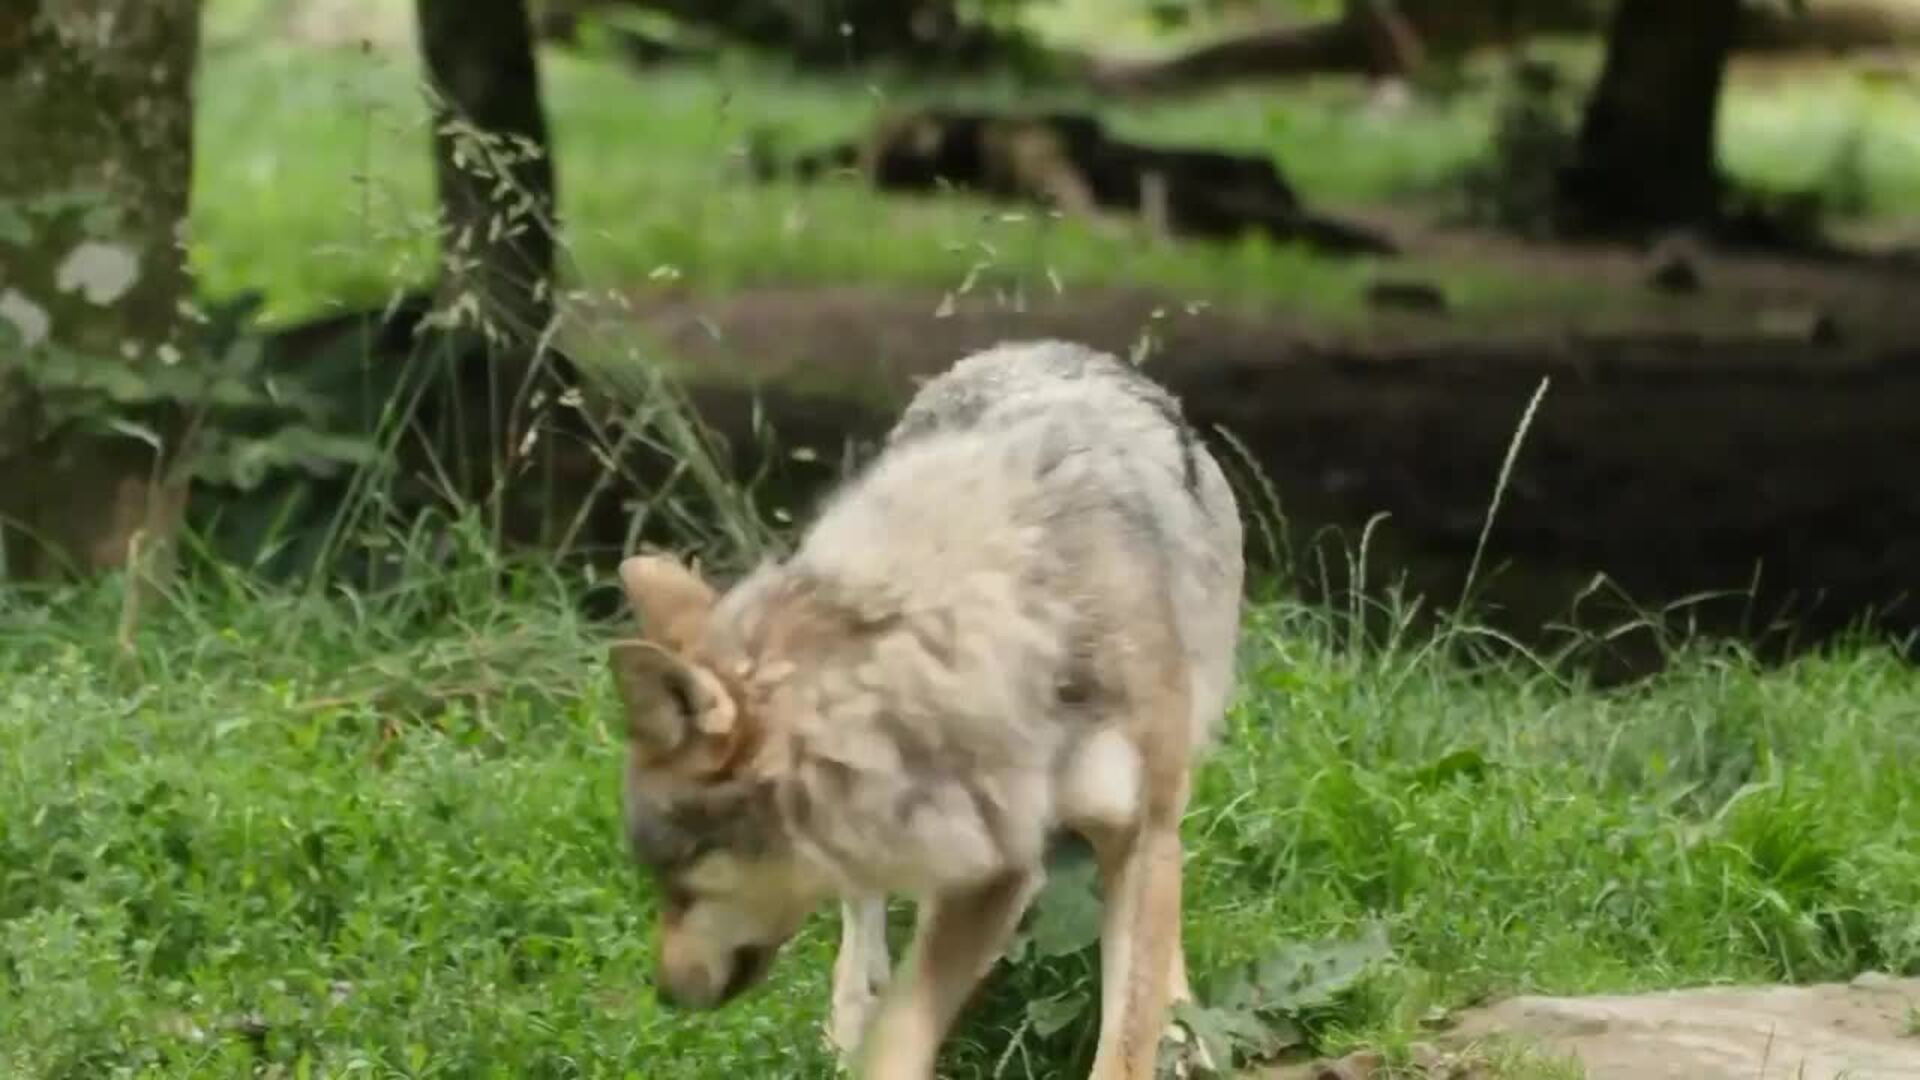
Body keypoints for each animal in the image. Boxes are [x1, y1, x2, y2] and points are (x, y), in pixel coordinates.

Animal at [609, 339, 1244, 1078]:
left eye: (678, 878)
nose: (664, 993)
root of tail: (1030, 347)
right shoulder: (990, 860)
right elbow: (899, 1031)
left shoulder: (1124, 834)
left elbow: (1127, 1028)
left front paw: (1167, 1030)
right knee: (863, 919)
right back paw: (849, 1015)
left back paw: (1185, 1031)